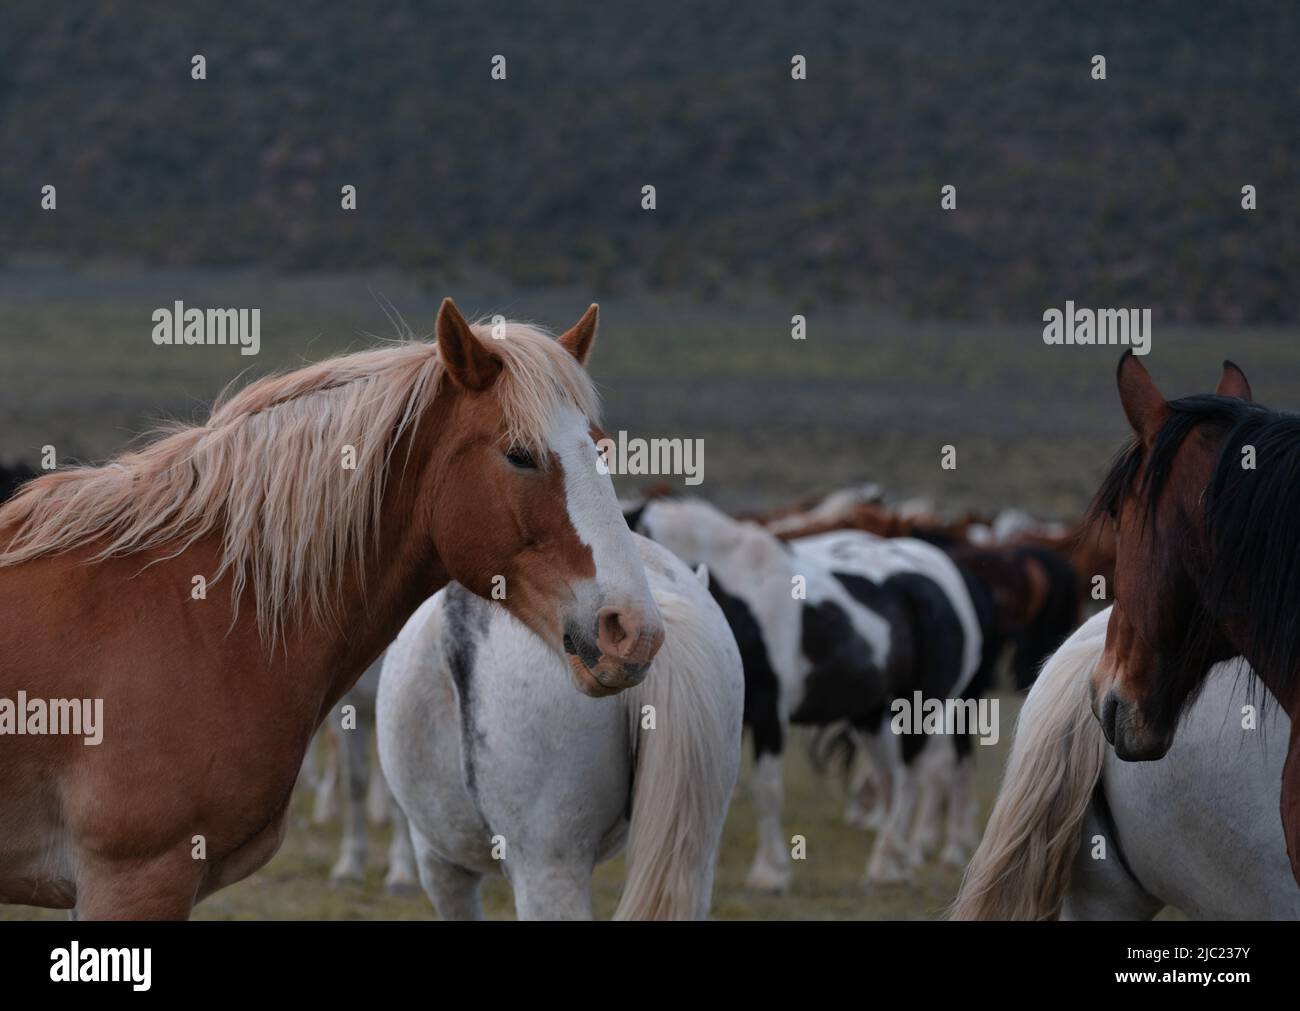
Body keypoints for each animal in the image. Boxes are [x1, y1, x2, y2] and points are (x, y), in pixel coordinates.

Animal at [630, 497, 987, 887]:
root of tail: (949, 581)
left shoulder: (768, 712)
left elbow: (767, 789)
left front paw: (770, 873)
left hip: (922, 709)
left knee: (913, 779)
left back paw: (889, 864)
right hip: (871, 715)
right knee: (890, 778)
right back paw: (895, 863)